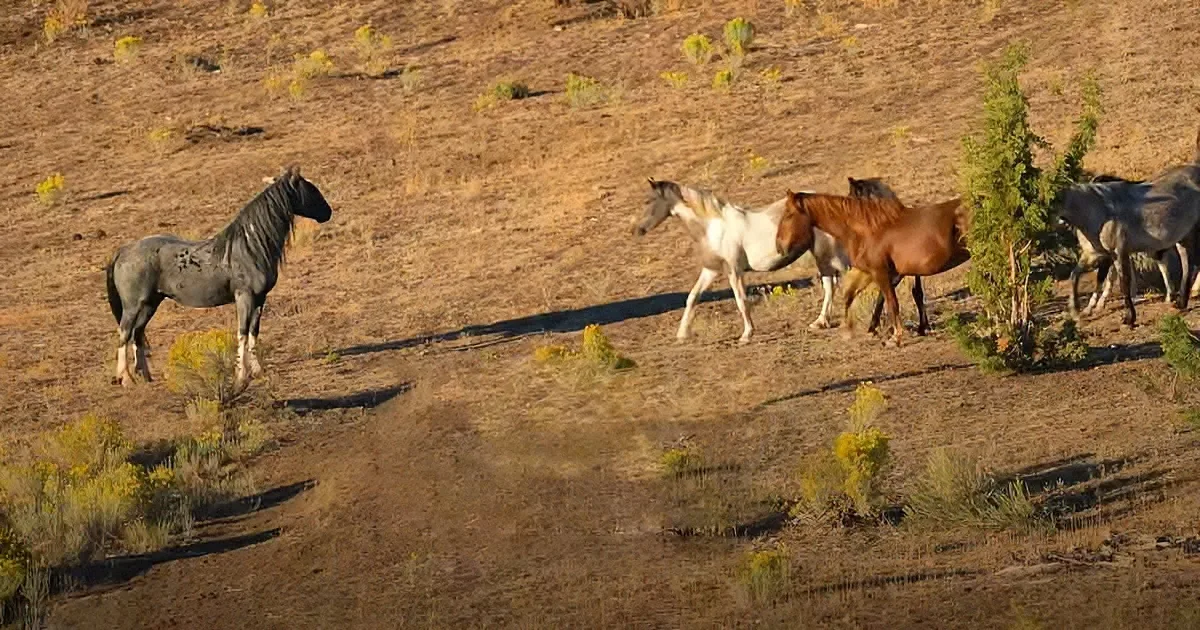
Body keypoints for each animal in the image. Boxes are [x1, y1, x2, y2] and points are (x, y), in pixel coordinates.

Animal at [105, 165, 333, 387]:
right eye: (311, 190)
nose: (328, 213)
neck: (249, 247)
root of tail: (124, 250)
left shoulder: (260, 299)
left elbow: (253, 332)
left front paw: (257, 371)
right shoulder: (244, 297)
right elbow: (242, 332)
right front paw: (241, 376)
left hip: (151, 303)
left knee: (137, 334)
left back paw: (145, 376)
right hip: (133, 306)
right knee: (124, 333)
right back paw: (126, 378)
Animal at [632, 179, 911, 343]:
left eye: (649, 200)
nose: (637, 230)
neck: (715, 226)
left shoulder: (734, 271)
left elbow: (741, 301)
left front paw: (747, 335)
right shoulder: (711, 270)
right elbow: (692, 297)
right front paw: (681, 335)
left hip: (826, 256)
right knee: (831, 286)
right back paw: (820, 322)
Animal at [775, 190, 968, 346]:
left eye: (789, 215)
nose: (779, 246)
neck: (868, 229)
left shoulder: (880, 272)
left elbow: (891, 302)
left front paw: (895, 338)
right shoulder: (875, 272)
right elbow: (852, 294)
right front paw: (855, 330)